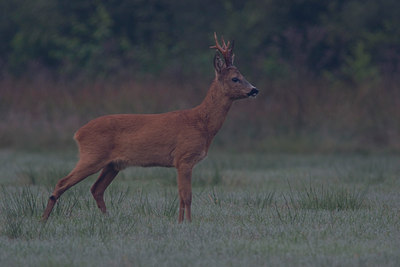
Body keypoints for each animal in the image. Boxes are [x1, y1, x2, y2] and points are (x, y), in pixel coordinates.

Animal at [41, 32, 260, 223]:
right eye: (235, 79)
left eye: (243, 75)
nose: (254, 90)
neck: (202, 124)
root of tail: (78, 133)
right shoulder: (184, 158)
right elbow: (186, 195)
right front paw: (188, 223)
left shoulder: (180, 162)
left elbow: (181, 196)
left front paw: (180, 222)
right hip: (92, 155)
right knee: (62, 183)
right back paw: (43, 220)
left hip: (113, 164)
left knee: (96, 189)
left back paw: (107, 219)